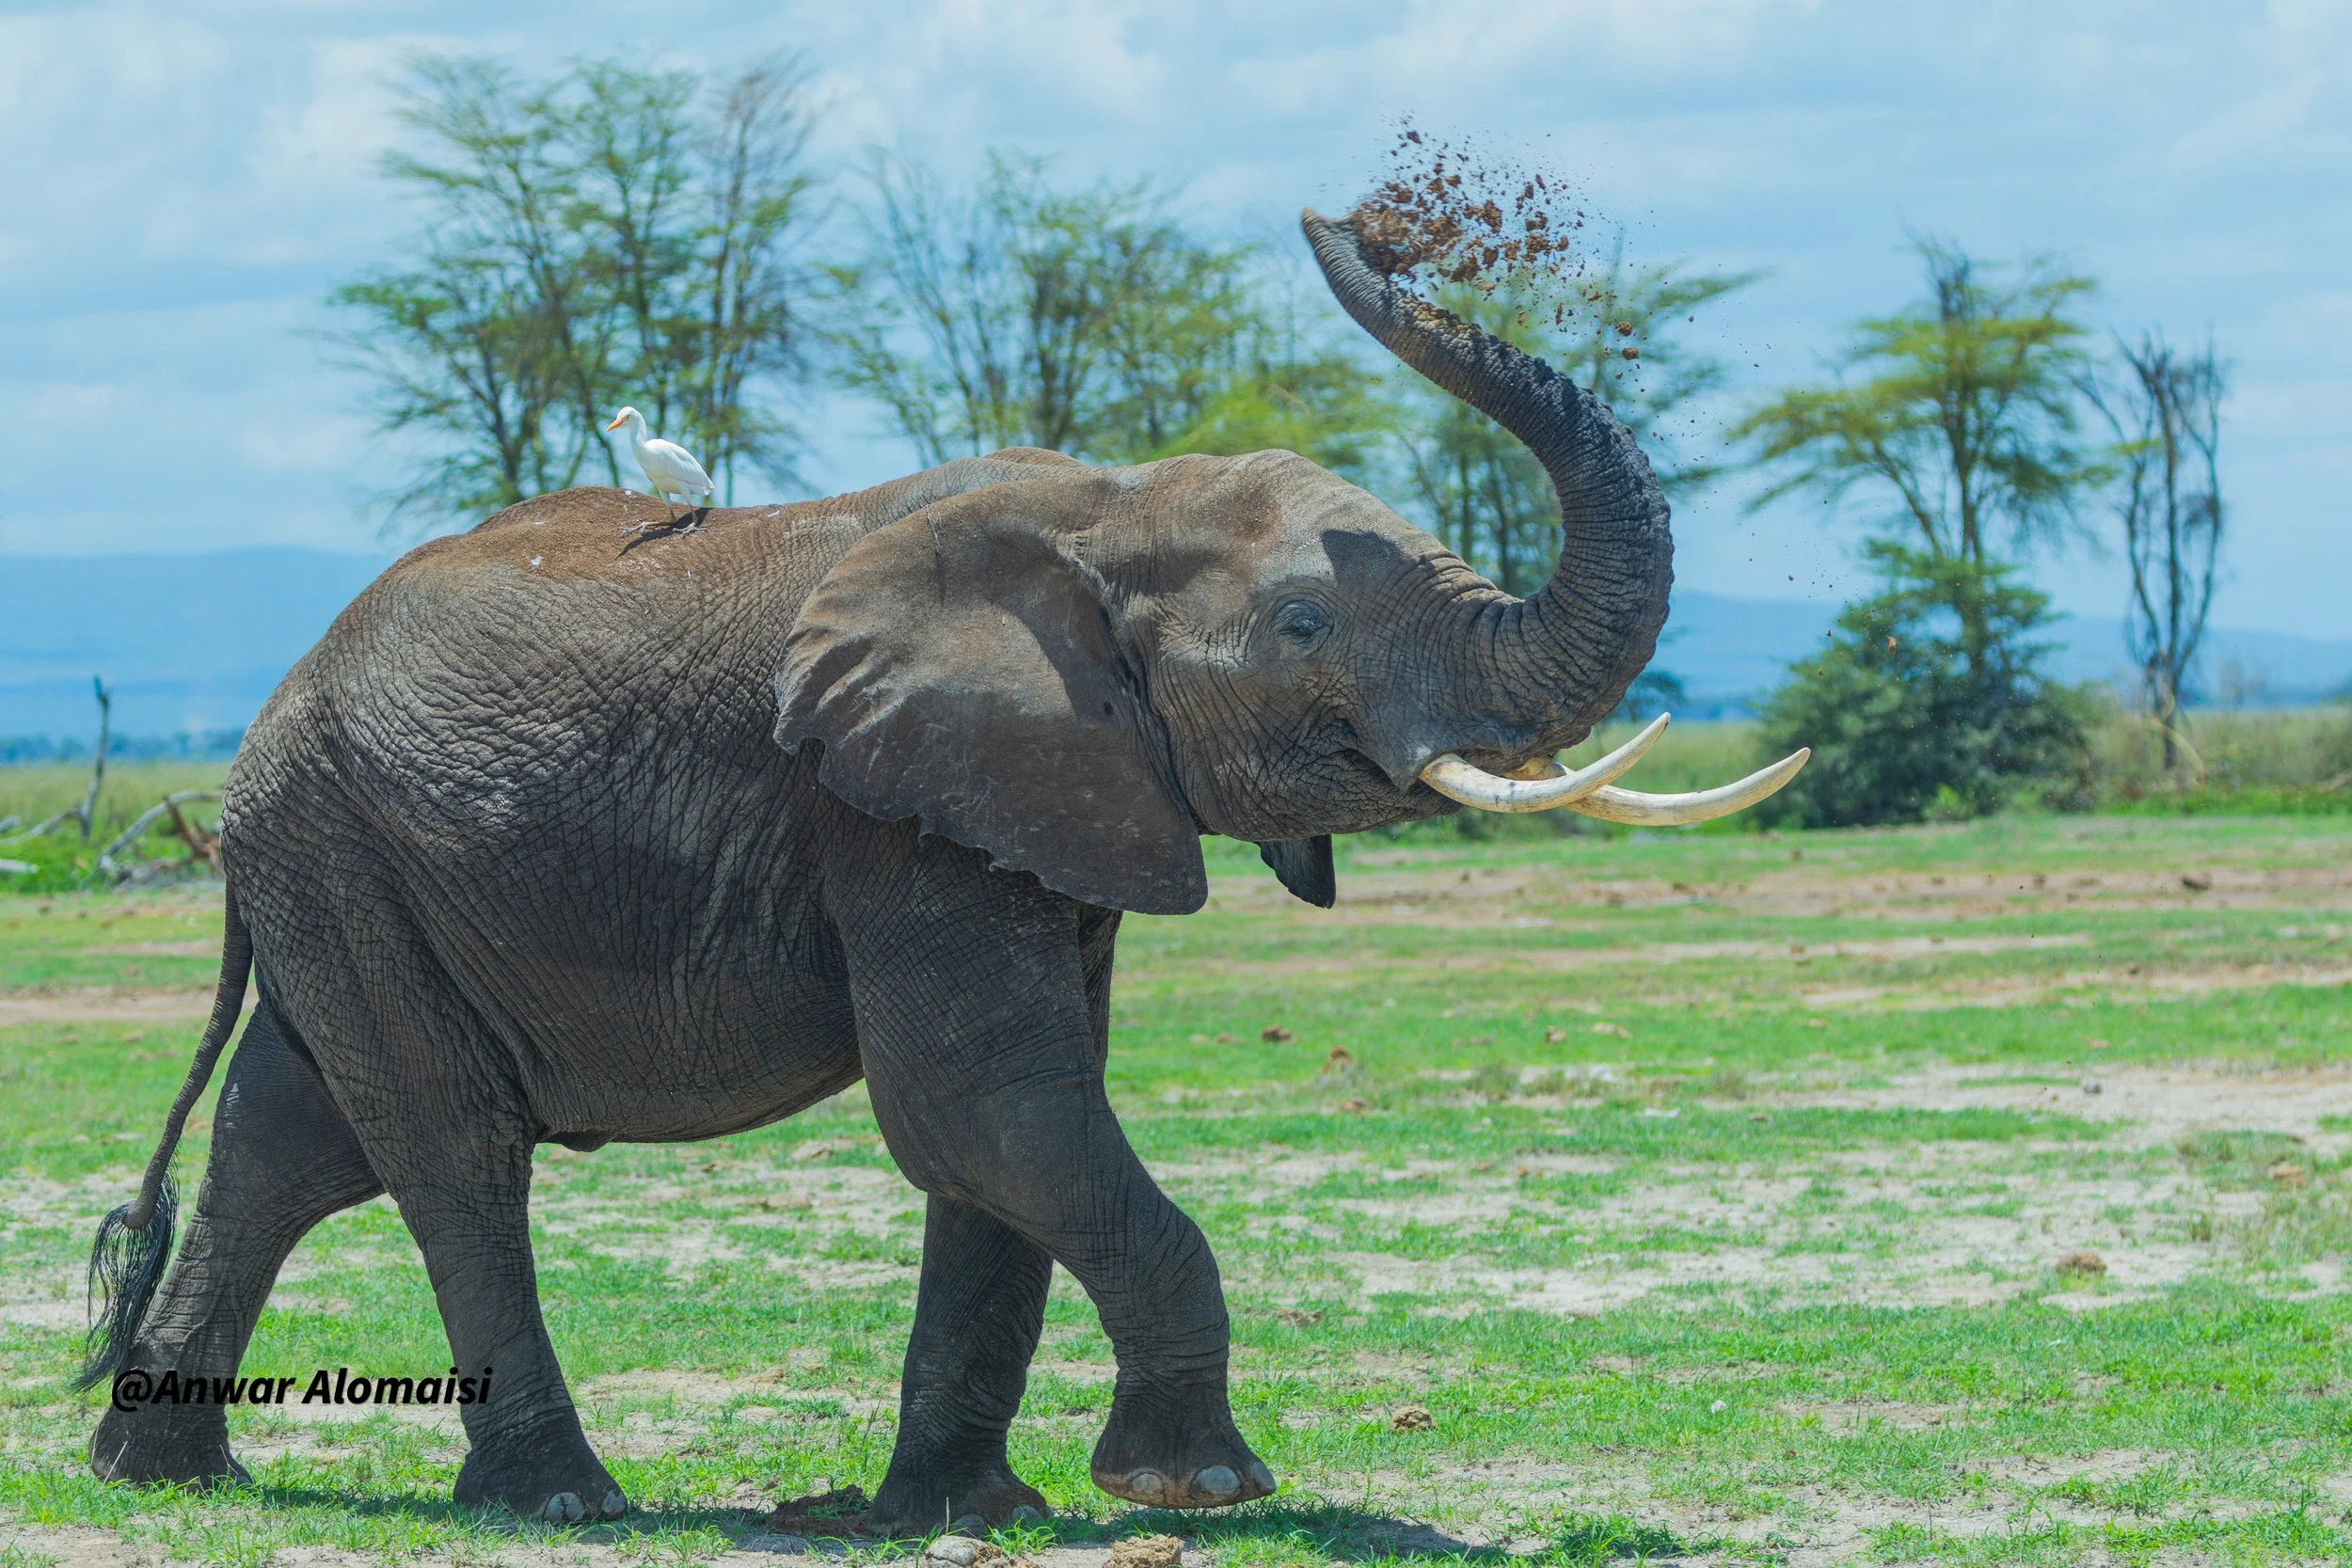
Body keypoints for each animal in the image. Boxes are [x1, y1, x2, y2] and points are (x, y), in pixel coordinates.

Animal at [79, 212, 1802, 1532]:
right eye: (1306, 625)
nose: (1356, 225)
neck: (1108, 506)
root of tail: (270, 718)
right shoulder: (883, 812)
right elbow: (986, 1101)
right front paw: (1198, 1490)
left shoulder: (1041, 804)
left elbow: (1008, 1132)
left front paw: (969, 1511)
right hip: (342, 848)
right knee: (450, 1149)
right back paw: (562, 1499)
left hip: (349, 866)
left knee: (291, 1138)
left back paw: (157, 1473)